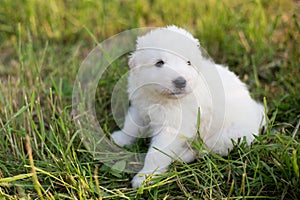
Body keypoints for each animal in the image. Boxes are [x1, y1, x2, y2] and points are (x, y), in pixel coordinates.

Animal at [110, 25, 264, 188]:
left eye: (189, 63)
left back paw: (182, 155)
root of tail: (257, 115)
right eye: (159, 63)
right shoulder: (141, 109)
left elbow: (156, 154)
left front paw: (145, 178)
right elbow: (131, 127)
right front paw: (119, 138)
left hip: (224, 137)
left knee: (206, 151)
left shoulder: (172, 128)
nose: (180, 82)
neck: (162, 98)